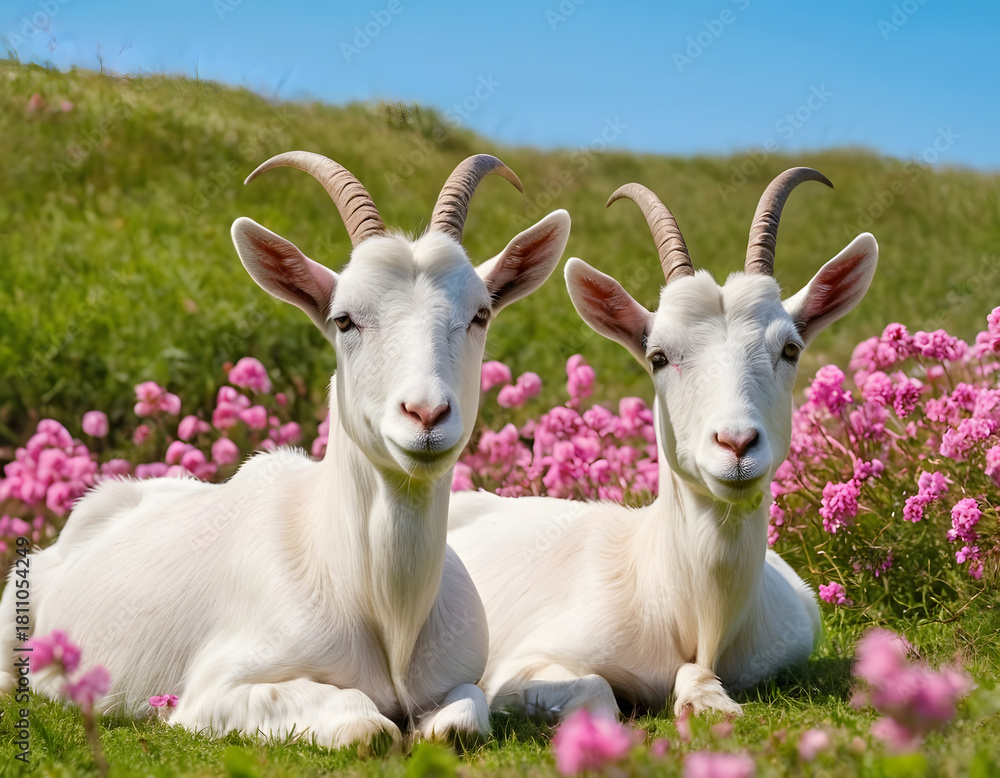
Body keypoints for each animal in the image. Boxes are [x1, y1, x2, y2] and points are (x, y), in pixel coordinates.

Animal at [0, 152, 571, 748]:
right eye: (344, 319)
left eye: (480, 314)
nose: (426, 415)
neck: (386, 609)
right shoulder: (212, 693)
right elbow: (365, 725)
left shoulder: (462, 681)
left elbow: (459, 721)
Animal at [448, 168, 878, 719]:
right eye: (657, 356)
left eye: (789, 348)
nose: (736, 444)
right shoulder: (517, 667)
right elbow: (596, 689)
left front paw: (707, 699)